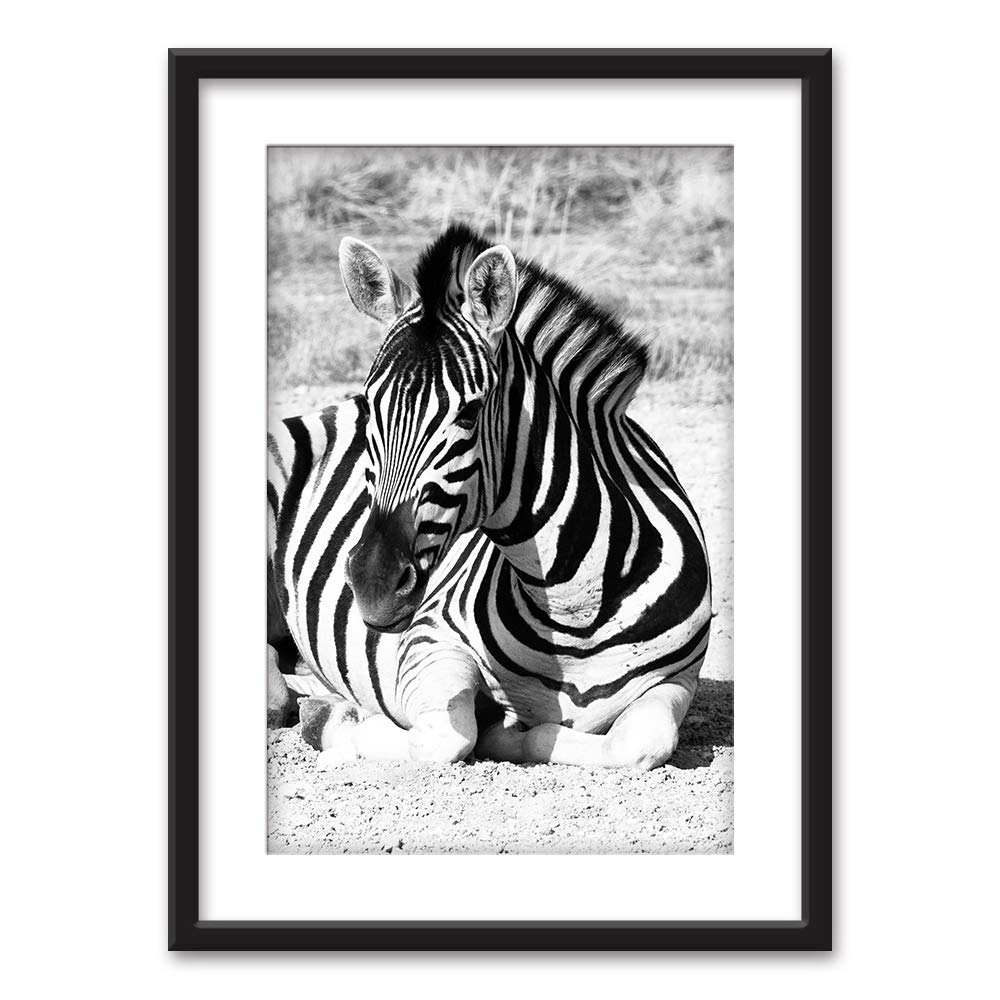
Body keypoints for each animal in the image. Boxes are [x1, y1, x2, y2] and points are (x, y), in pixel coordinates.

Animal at [269, 222, 712, 769]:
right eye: (370, 407)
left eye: (469, 412)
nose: (372, 586)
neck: (575, 610)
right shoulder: (426, 643)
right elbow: (448, 736)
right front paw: (337, 726)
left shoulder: (678, 678)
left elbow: (640, 741)